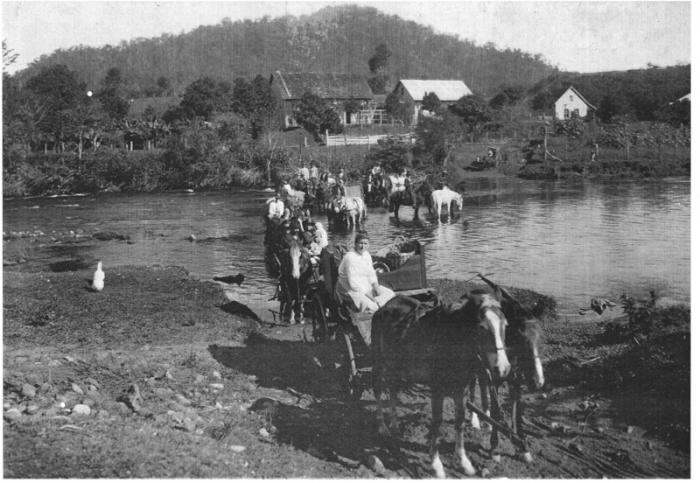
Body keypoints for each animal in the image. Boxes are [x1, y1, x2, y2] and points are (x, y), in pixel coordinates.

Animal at [370, 290, 512, 478]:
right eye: (482, 327)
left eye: (506, 325)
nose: (503, 368)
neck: (450, 342)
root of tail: (383, 308)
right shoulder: (437, 389)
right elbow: (437, 422)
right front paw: (436, 465)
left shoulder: (461, 390)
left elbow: (459, 421)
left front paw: (464, 462)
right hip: (379, 362)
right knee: (378, 389)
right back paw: (382, 426)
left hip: (396, 367)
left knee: (393, 390)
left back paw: (393, 424)